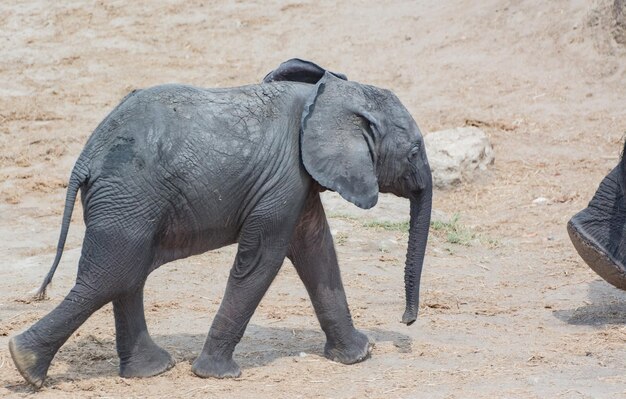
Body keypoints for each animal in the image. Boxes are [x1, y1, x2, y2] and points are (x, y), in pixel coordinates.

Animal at [9, 57, 432, 390]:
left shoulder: (296, 182)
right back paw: (25, 365)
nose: (407, 321)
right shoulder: (282, 179)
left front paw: (359, 355)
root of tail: (85, 157)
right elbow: (263, 261)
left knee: (126, 274)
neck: (326, 98)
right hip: (128, 195)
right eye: (414, 152)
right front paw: (217, 375)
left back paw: (149, 371)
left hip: (128, 201)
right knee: (110, 276)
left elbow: (317, 251)